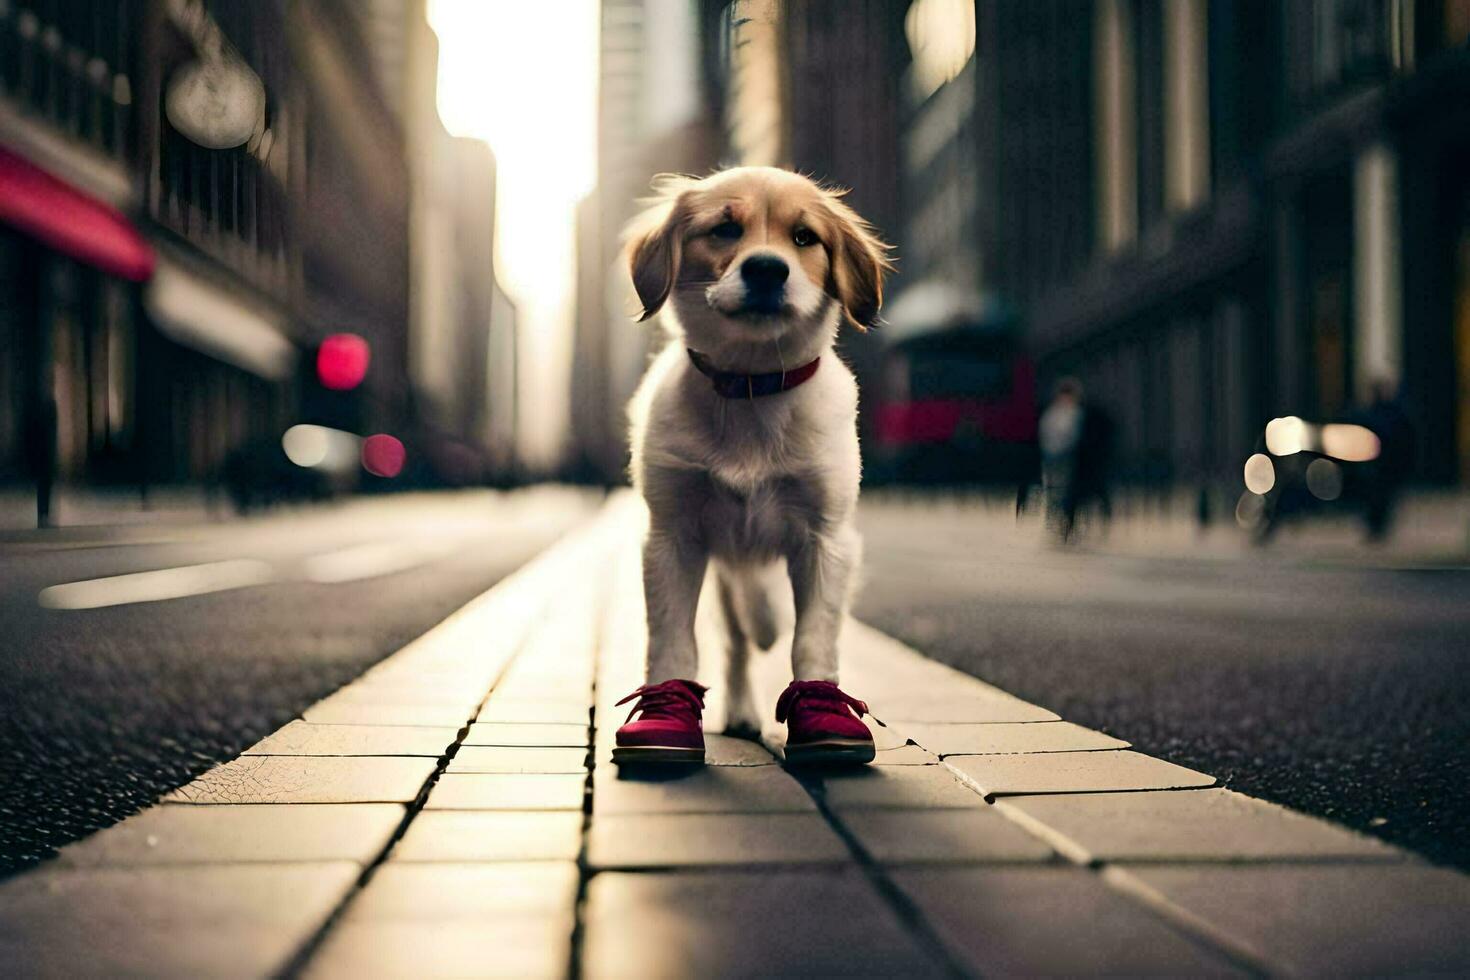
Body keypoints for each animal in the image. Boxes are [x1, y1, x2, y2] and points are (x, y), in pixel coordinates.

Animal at [611, 168, 893, 764]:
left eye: (805, 237)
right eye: (725, 229)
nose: (766, 268)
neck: (750, 387)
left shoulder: (826, 539)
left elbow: (812, 635)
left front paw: (824, 715)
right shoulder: (672, 536)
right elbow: (672, 637)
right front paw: (663, 716)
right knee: (739, 643)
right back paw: (740, 711)